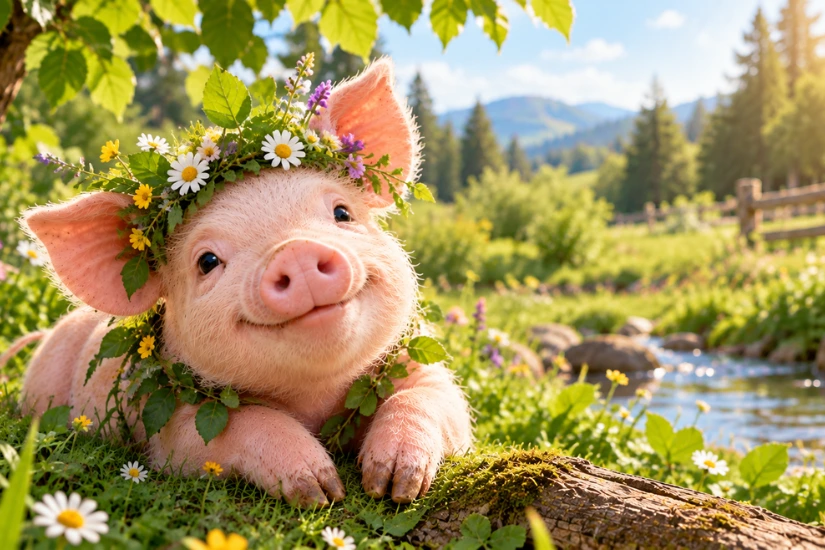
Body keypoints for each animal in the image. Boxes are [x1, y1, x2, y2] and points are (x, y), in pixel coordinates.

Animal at [11, 59, 473, 506]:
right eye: (207, 261)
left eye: (342, 212)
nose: (295, 250)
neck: (315, 400)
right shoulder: (175, 426)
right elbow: (241, 423)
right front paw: (323, 492)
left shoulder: (425, 374)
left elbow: (429, 400)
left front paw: (394, 487)